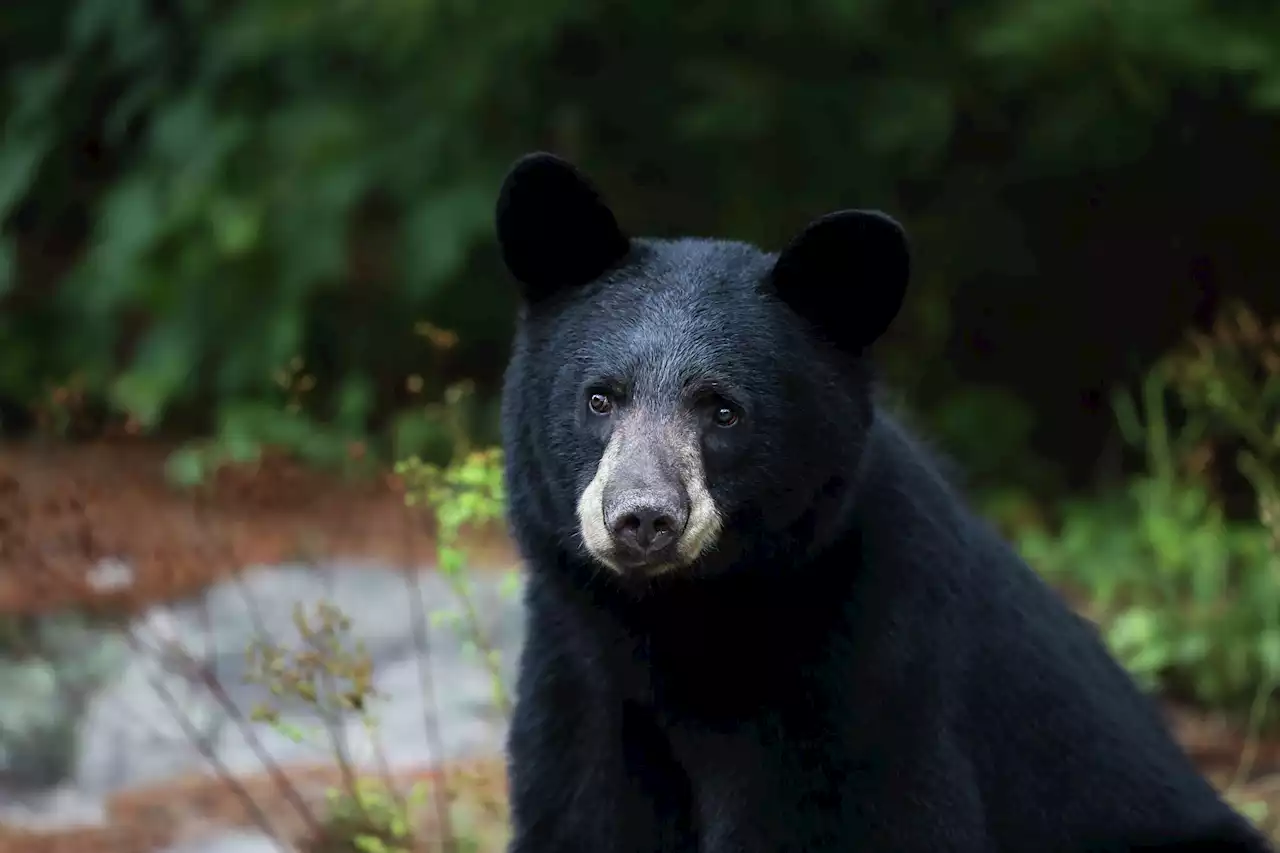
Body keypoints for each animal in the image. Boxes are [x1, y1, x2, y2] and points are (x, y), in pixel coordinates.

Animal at [488, 153, 1269, 850]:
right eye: (599, 398)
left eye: (724, 412)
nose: (644, 518)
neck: (685, 627)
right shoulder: (581, 697)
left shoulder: (866, 682)